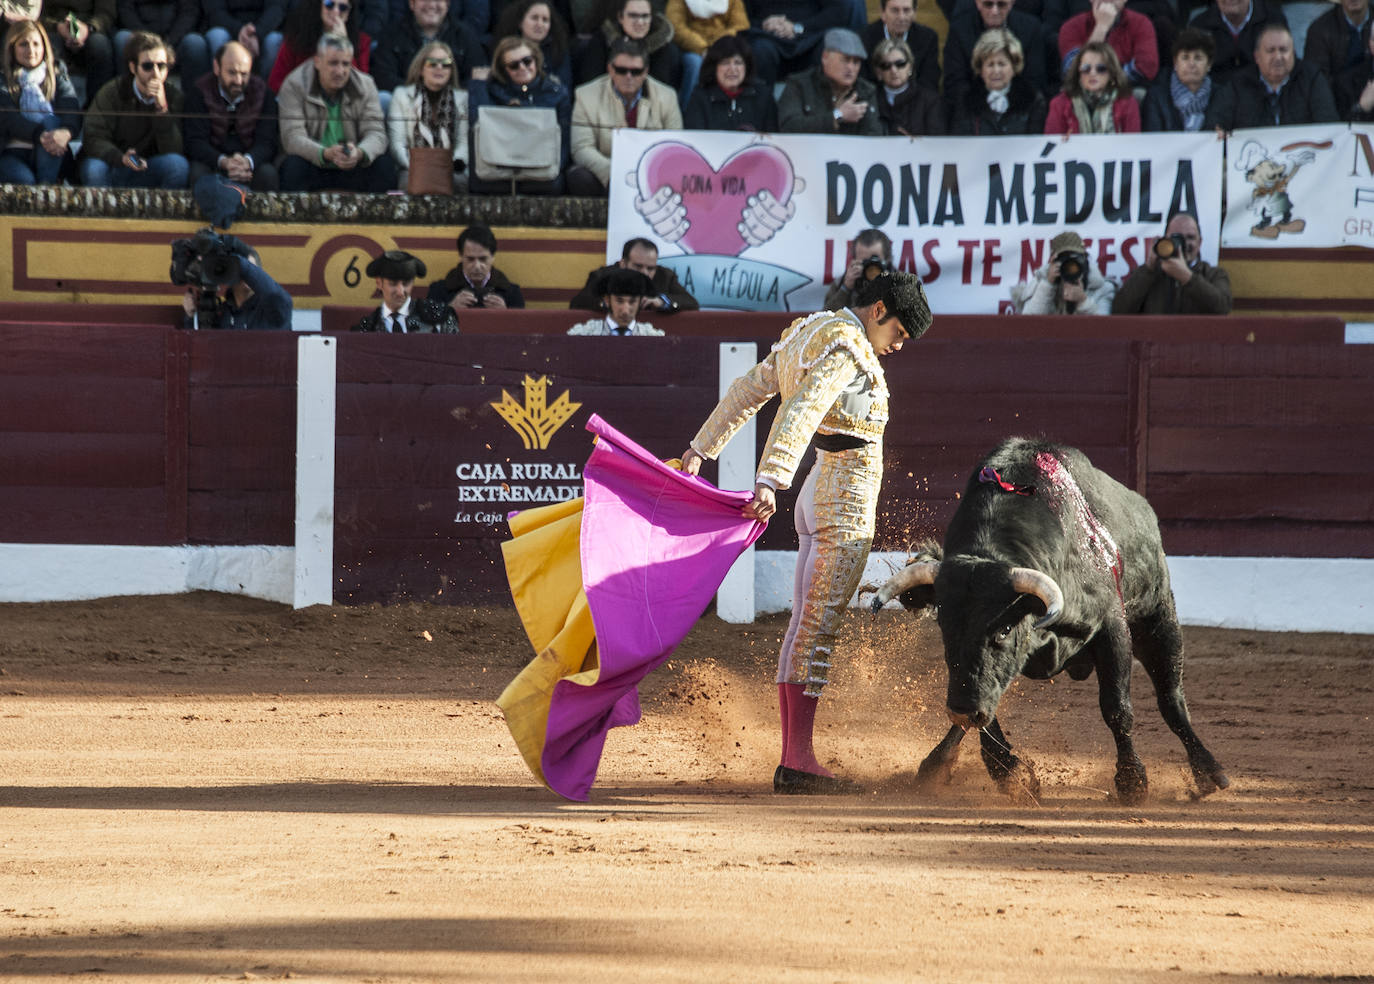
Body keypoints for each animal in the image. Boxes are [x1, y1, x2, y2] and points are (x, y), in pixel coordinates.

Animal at [873, 439, 1231, 808]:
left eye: (1003, 630)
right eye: (945, 628)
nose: (960, 709)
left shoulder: (1112, 628)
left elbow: (1117, 707)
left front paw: (1132, 782)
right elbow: (987, 706)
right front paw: (1013, 774)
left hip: (1158, 619)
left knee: (1171, 700)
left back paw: (1209, 773)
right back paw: (936, 764)